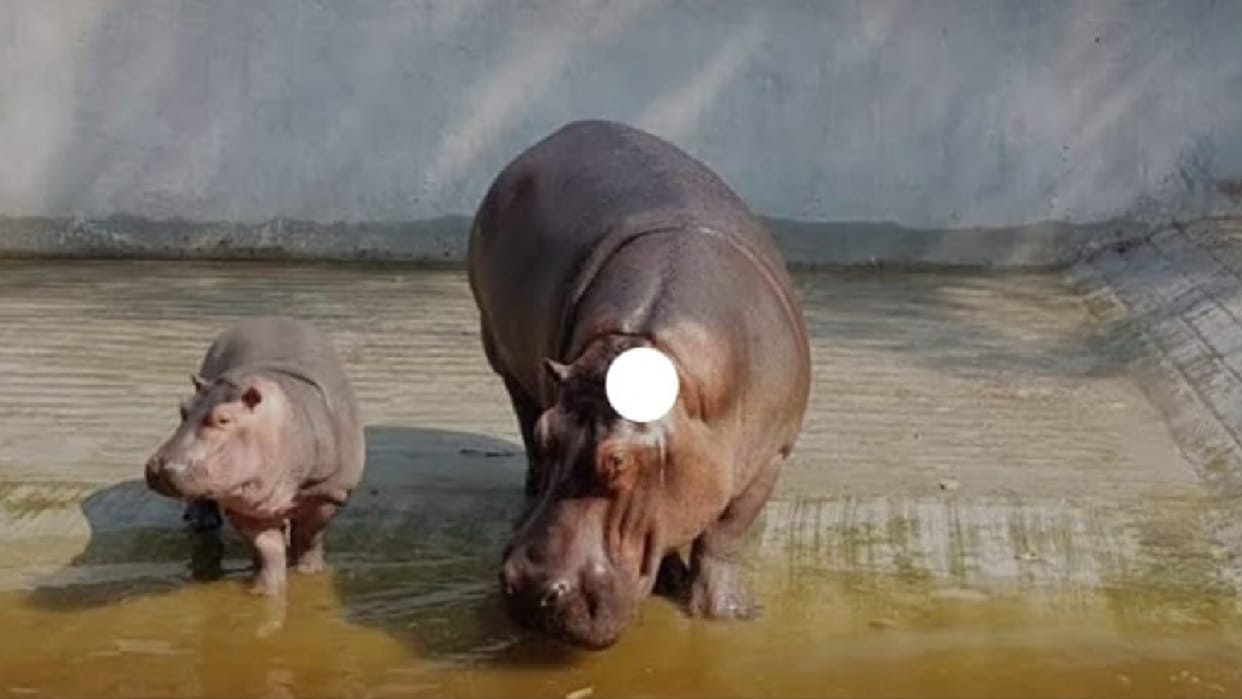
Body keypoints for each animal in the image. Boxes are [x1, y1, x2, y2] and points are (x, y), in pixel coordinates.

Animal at [144, 316, 366, 595]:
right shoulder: (247, 505)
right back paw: (202, 522)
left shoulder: (327, 495)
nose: (158, 467)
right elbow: (267, 550)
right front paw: (264, 591)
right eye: (182, 407)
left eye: (224, 419)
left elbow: (308, 539)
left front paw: (309, 573)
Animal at [467, 119, 811, 649]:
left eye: (618, 462)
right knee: (521, 414)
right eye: (550, 435)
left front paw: (727, 613)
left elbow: (724, 536)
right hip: (502, 357)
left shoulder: (771, 454)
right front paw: (675, 580)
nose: (528, 587)